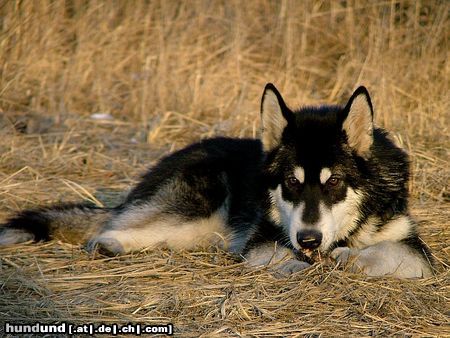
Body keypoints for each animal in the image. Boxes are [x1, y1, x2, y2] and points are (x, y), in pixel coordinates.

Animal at [0, 84, 432, 278]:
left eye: (334, 182)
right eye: (291, 184)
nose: (309, 239)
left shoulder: (414, 251)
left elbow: (389, 253)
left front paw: (348, 258)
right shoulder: (260, 243)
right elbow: (284, 258)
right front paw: (309, 264)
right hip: (199, 208)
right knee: (111, 226)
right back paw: (106, 244)